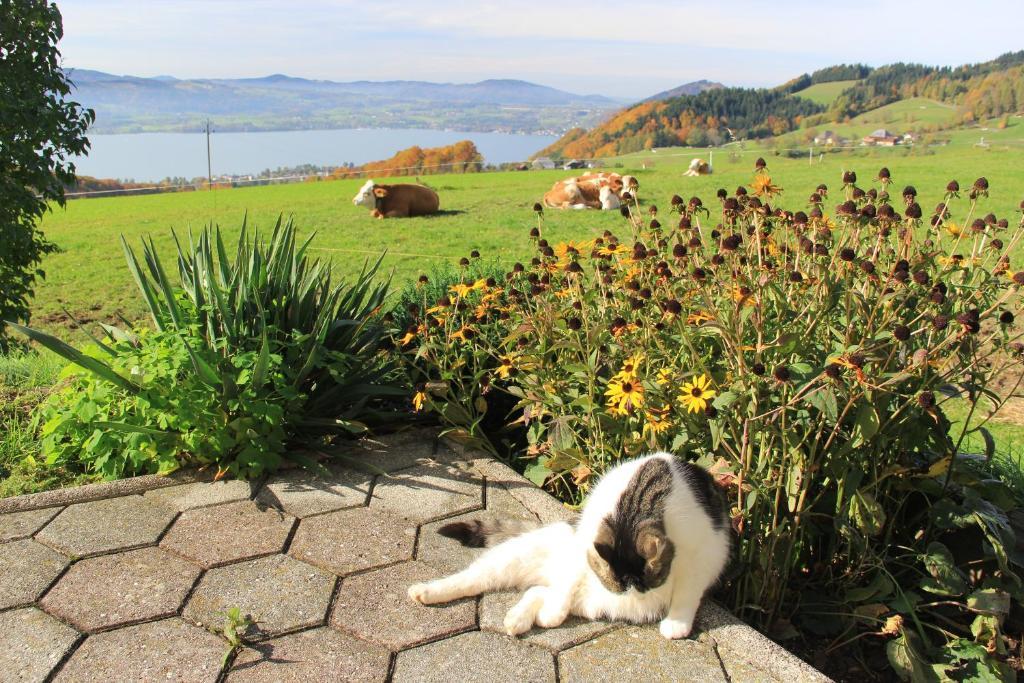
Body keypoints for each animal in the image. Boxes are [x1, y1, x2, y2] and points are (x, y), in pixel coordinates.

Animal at [403, 454, 733, 643]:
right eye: (620, 582)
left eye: (647, 583)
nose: (631, 595)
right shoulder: (586, 546)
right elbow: (565, 587)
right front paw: (551, 614)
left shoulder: (704, 554)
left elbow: (687, 593)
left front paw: (676, 623)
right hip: (513, 560)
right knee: (476, 580)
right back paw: (426, 592)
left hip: (590, 603)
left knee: (538, 590)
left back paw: (519, 619)